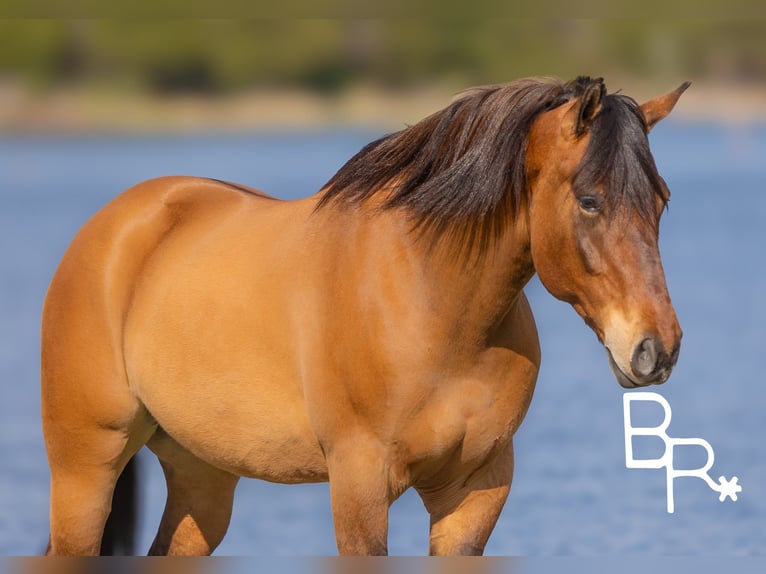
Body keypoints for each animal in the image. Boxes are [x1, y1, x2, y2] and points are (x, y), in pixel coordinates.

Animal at [41, 76, 687, 556]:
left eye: (661, 201)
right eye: (589, 200)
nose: (656, 349)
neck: (433, 304)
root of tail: (118, 225)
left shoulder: (475, 491)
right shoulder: (359, 486)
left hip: (201, 474)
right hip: (85, 469)